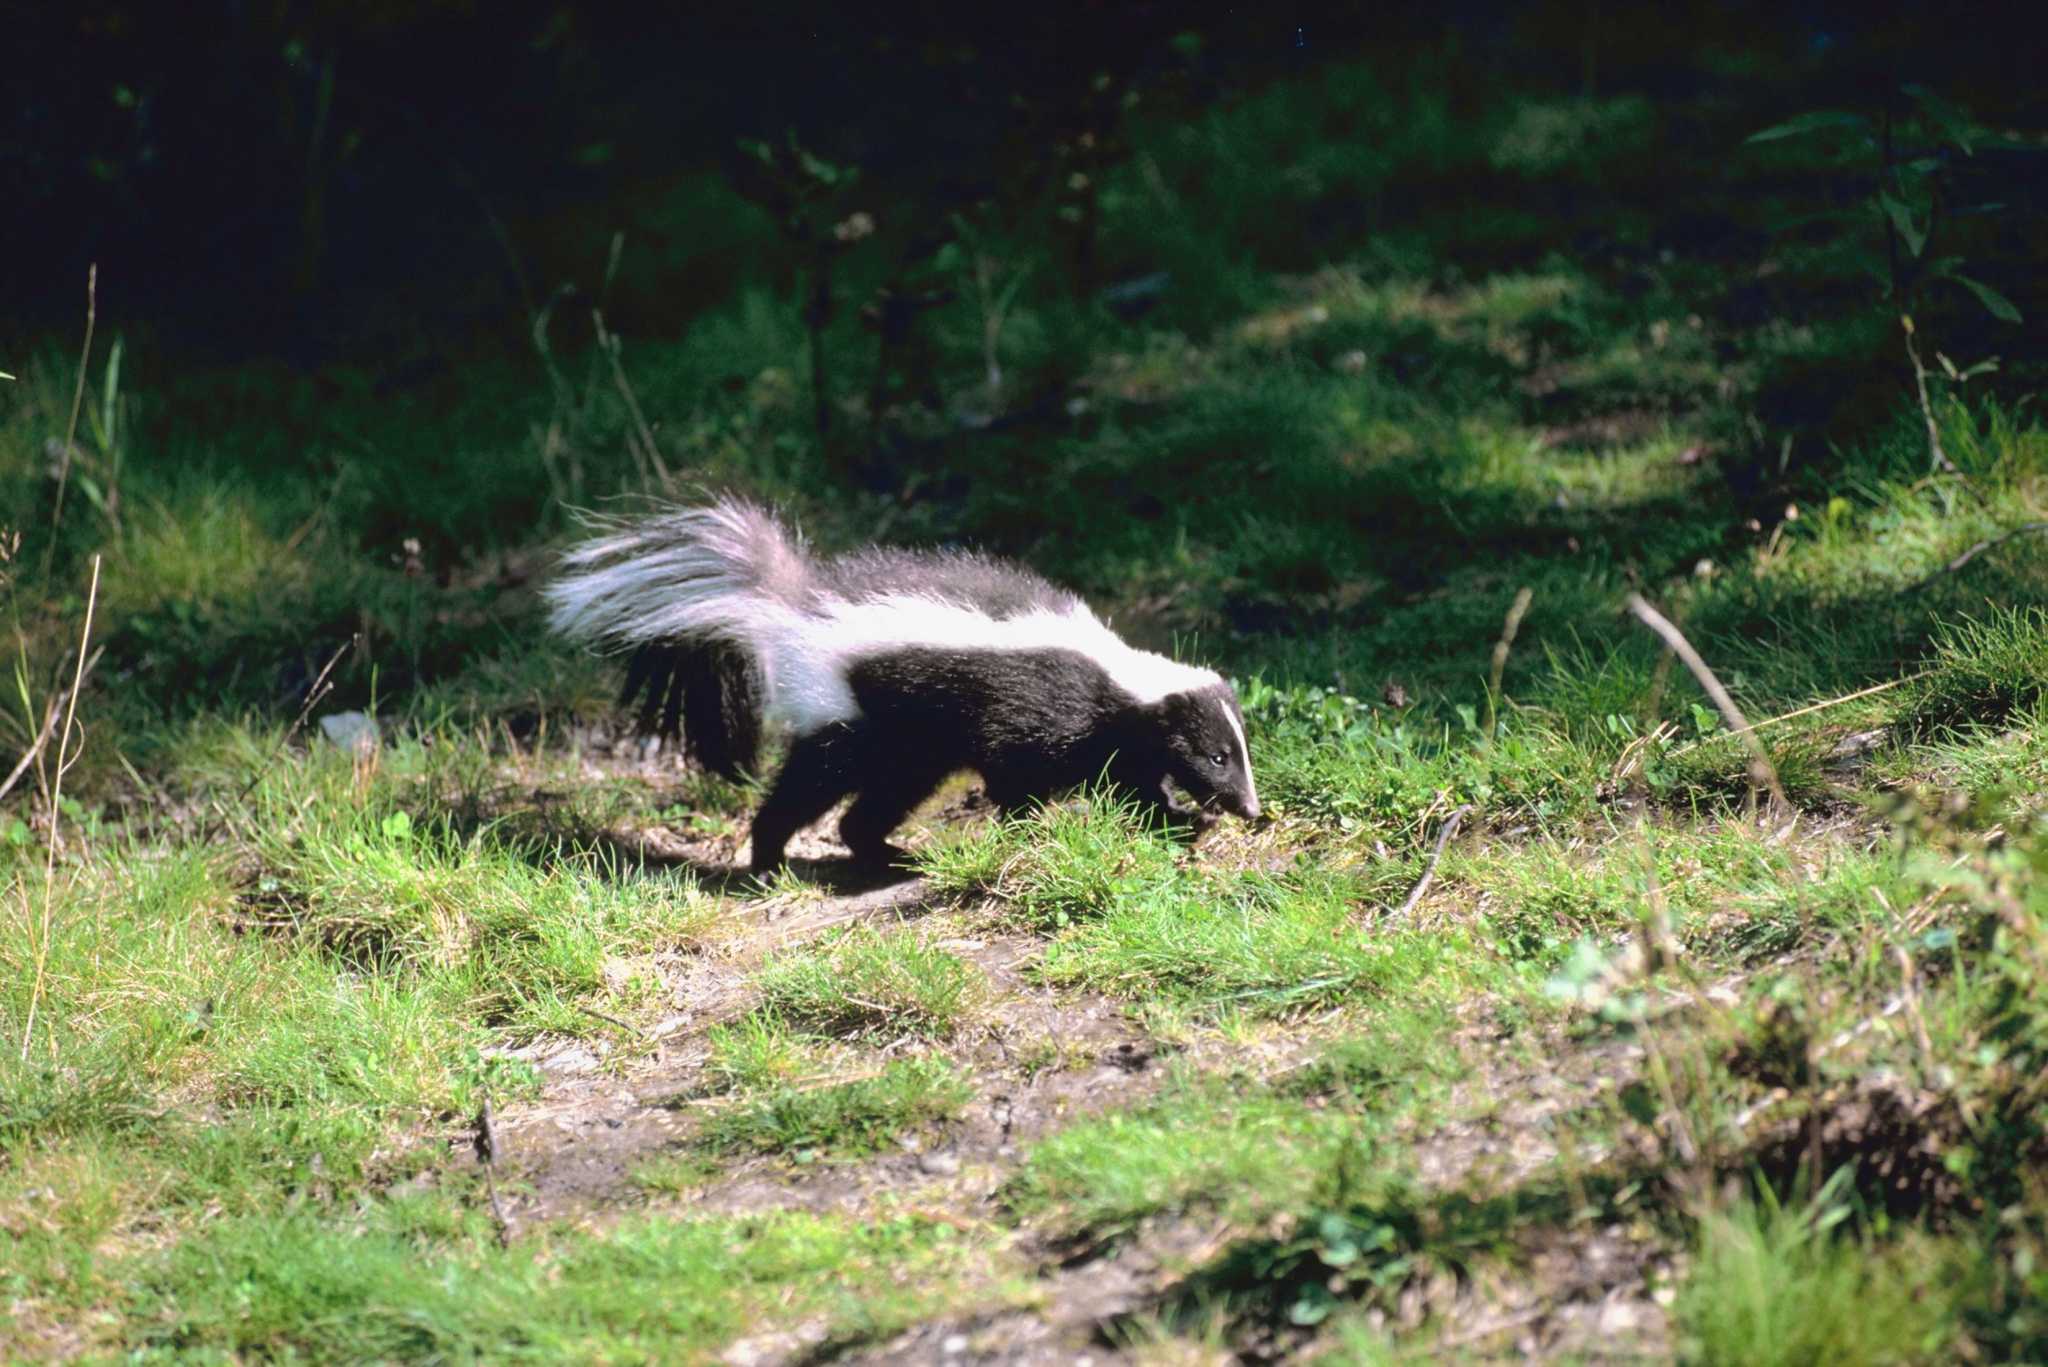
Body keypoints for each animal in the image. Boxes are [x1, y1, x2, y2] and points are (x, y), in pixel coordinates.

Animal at [544, 498, 1253, 873]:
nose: (1251, 808)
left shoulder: (1117, 740)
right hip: (849, 715)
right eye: (1217, 756)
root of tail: (794, 605)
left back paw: (890, 855)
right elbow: (1013, 772)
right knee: (805, 787)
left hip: (913, 751)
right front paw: (1029, 828)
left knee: (867, 809)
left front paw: (1179, 819)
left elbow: (1135, 784)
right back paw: (769, 863)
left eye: (1238, 754)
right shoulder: (1037, 708)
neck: (1116, 676)